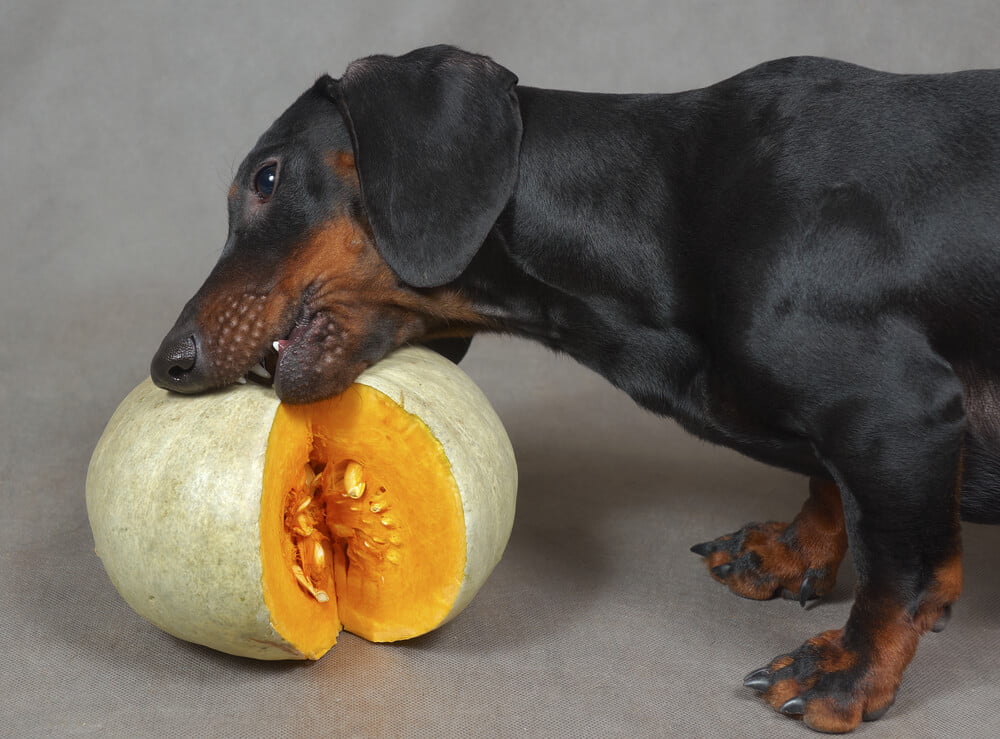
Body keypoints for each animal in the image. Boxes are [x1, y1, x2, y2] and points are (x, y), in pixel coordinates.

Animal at [148, 46, 1000, 736]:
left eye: (266, 178)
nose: (167, 363)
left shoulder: (897, 412)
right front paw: (792, 549)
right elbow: (827, 481)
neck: (661, 210)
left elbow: (903, 574)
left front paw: (847, 674)